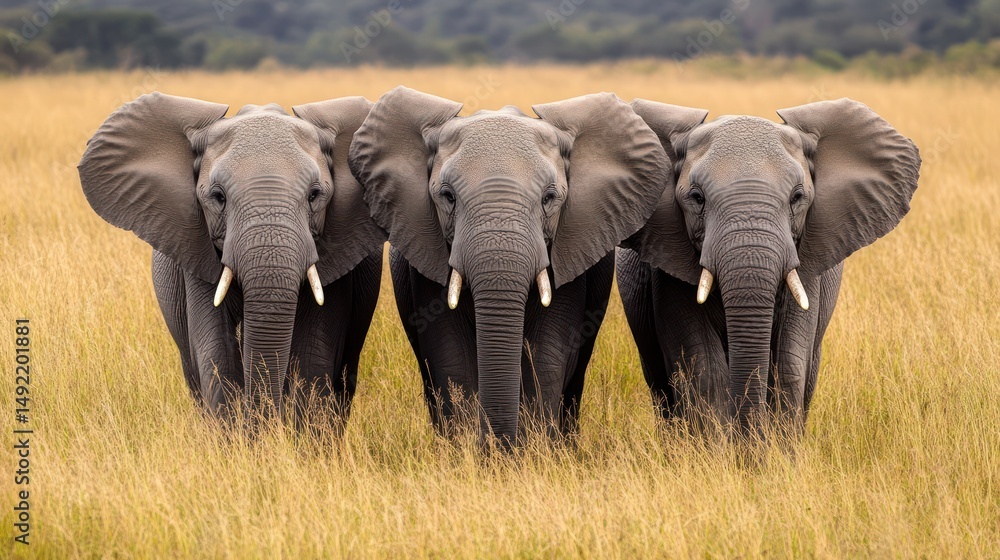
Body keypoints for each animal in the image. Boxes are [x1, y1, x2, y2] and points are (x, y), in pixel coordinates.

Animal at [349, 86, 669, 446]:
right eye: (448, 196)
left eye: (549, 198)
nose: (497, 446)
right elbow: (452, 357)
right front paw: (468, 451)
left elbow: (543, 354)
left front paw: (532, 451)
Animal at [617, 97, 920, 438]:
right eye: (696, 198)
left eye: (797, 197)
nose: (747, 440)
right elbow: (704, 367)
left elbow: (788, 364)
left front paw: (774, 450)